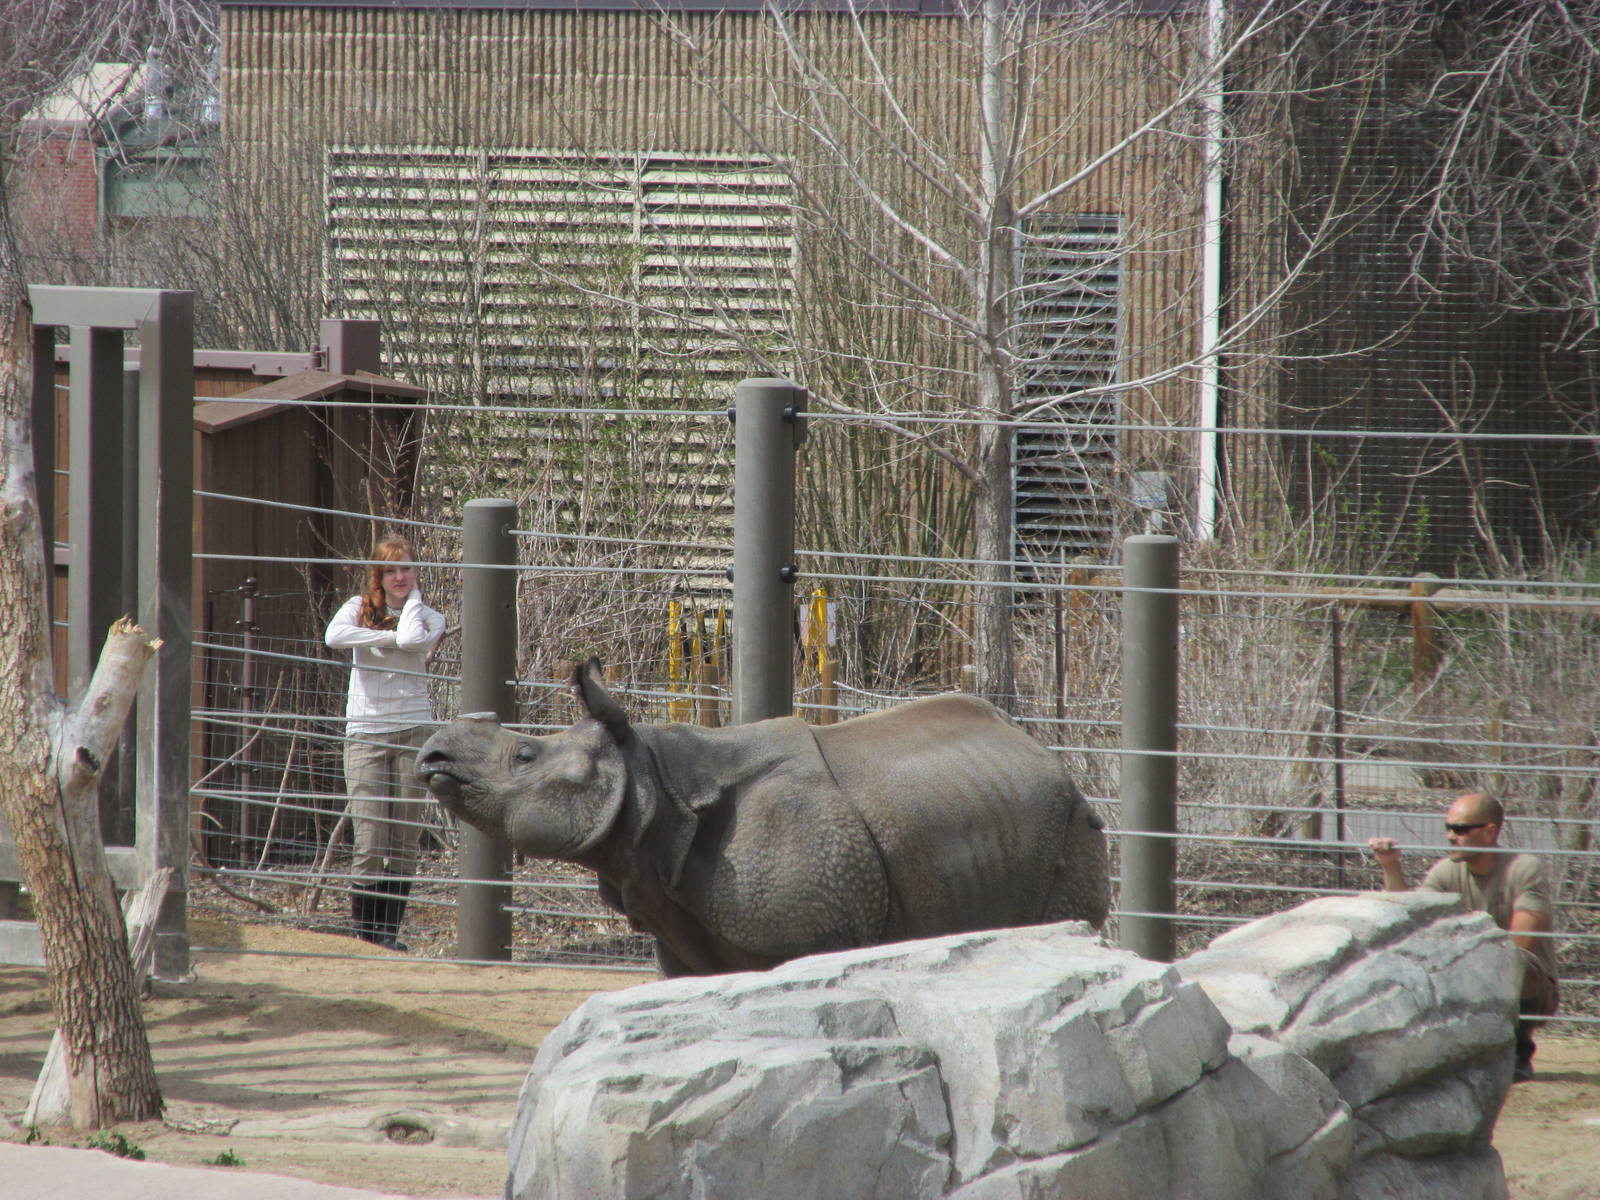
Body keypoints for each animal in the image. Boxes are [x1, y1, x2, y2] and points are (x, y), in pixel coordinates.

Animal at [417, 658, 1109, 976]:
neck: (652, 787)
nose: (432, 755)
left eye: (524, 755)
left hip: (1071, 823)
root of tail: (1047, 754)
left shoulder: (811, 928)